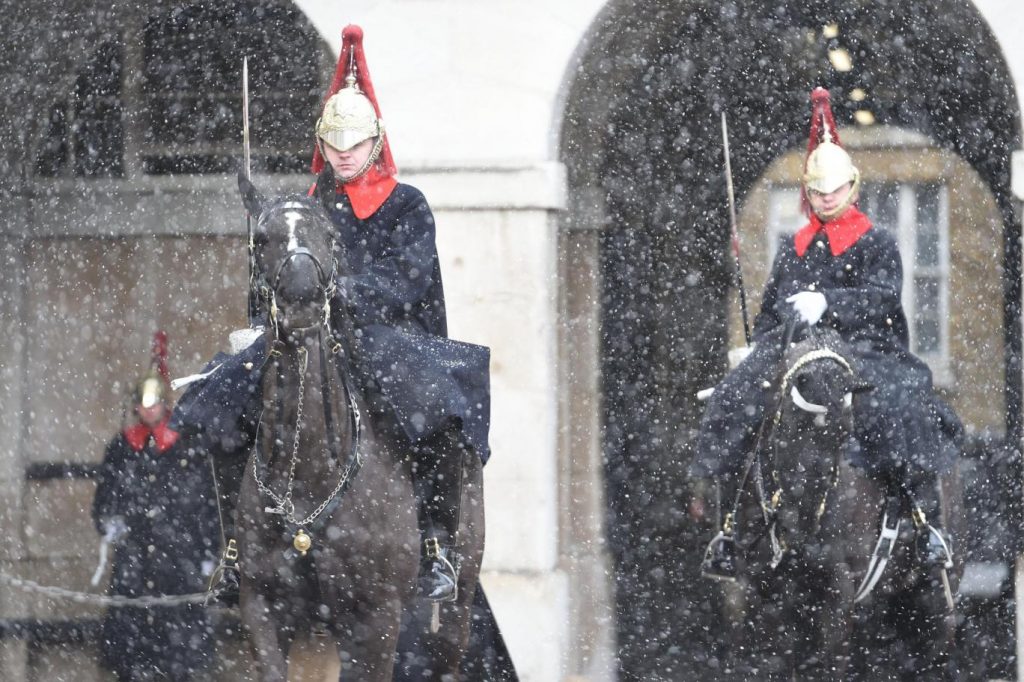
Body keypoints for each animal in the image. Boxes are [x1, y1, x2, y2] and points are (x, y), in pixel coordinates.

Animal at [234, 171, 485, 679]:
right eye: (262, 238)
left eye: (329, 235)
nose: (302, 297)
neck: (310, 472)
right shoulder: (264, 610)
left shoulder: (376, 617)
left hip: (454, 614)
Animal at [716, 325, 962, 679]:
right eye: (791, 425)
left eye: (844, 433)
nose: (802, 535)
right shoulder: (761, 594)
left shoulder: (838, 590)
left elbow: (828, 662)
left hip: (932, 609)